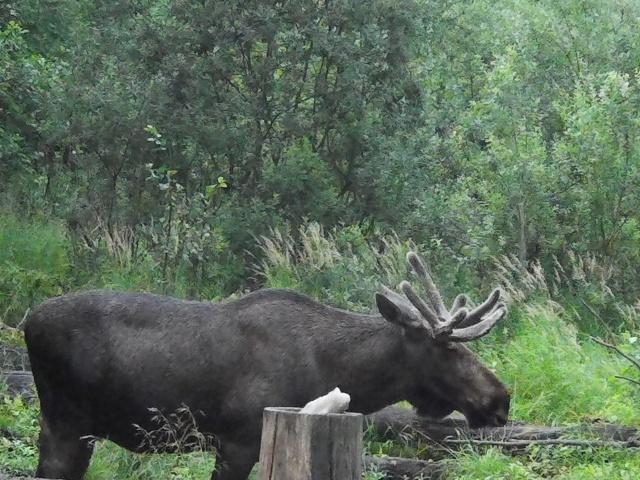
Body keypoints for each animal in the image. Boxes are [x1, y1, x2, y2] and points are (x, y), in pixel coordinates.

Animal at [24, 251, 509, 480]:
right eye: (448, 349)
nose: (501, 399)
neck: (336, 370)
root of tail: (28, 321)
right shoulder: (238, 439)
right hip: (68, 424)